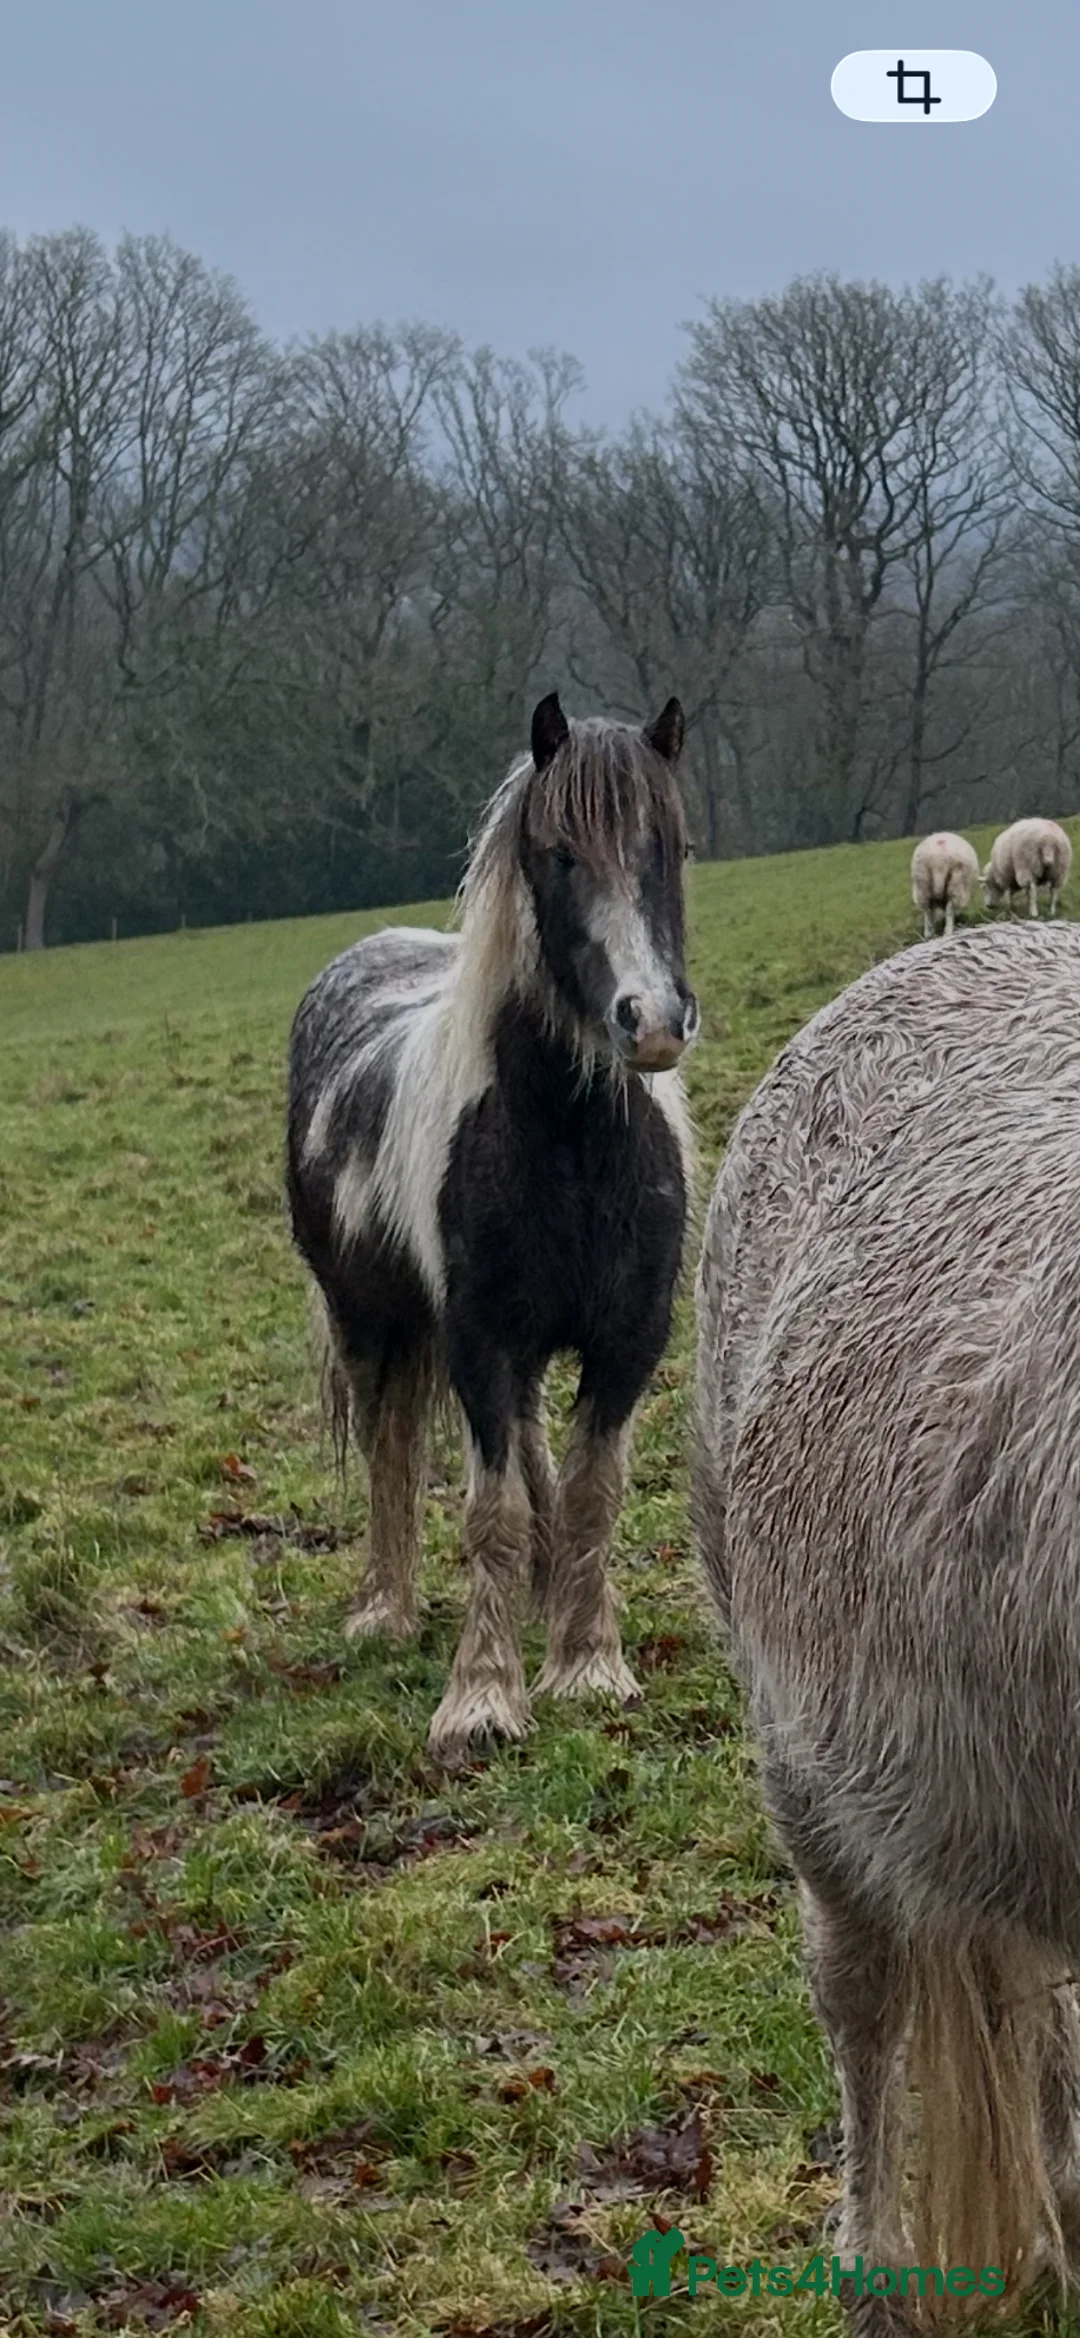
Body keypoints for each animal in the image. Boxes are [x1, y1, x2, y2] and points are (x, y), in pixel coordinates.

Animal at [287, 691, 698, 1759]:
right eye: (556, 855)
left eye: (673, 846)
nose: (651, 1022)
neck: (568, 1143)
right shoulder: (475, 1341)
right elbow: (491, 1513)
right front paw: (482, 1696)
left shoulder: (628, 1340)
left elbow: (589, 1495)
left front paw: (586, 1662)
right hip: (371, 1327)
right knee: (392, 1453)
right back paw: (385, 1608)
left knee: (532, 1453)